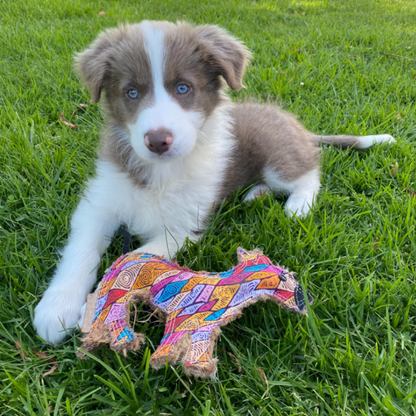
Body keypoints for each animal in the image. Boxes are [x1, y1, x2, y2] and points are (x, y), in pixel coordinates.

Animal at [33, 20, 394, 344]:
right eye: (131, 92)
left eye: (183, 88)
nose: (158, 140)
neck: (162, 171)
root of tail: (295, 125)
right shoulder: (99, 204)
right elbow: (80, 251)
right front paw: (57, 308)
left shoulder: (181, 228)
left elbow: (131, 258)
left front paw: (97, 304)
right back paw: (255, 195)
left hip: (275, 152)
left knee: (309, 171)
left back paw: (297, 205)